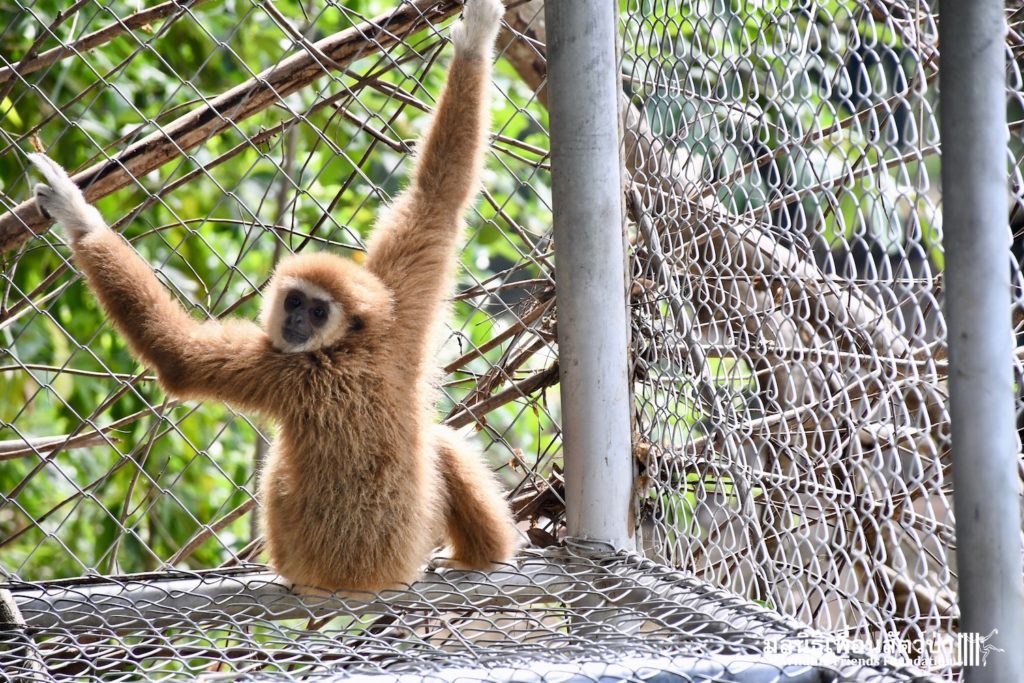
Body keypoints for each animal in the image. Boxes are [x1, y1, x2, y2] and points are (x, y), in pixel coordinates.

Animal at [27, 0, 519, 593]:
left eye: (317, 309)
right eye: (296, 302)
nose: (299, 324)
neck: (347, 346)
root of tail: (375, 575)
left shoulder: (289, 371)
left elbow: (177, 357)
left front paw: (78, 215)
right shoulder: (397, 314)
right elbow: (438, 199)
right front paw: (476, 38)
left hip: (301, 554)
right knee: (440, 440)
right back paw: (487, 556)